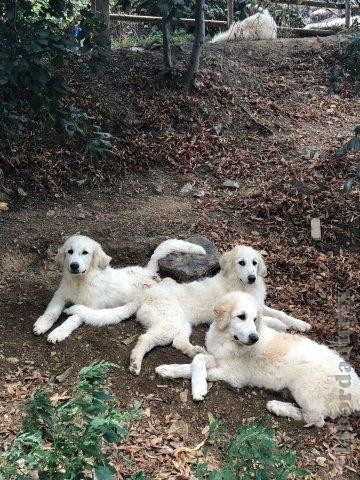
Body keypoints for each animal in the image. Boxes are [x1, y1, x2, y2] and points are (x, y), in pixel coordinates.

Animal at [33, 234, 205, 344]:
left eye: (85, 252)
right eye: (69, 251)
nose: (74, 265)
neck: (80, 281)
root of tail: (146, 271)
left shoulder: (91, 306)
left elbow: (71, 319)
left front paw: (58, 332)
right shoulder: (61, 294)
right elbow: (52, 311)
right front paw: (42, 325)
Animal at [64, 248, 310, 376]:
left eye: (254, 263)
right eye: (241, 263)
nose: (251, 277)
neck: (241, 284)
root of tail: (143, 296)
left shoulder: (259, 304)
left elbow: (279, 313)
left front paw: (301, 323)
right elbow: (269, 318)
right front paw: (282, 326)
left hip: (182, 323)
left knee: (178, 342)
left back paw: (194, 350)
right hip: (168, 323)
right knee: (144, 340)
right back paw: (135, 362)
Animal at [158, 292, 360, 428]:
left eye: (255, 319)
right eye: (241, 317)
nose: (254, 338)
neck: (227, 340)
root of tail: (356, 390)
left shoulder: (234, 375)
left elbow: (201, 365)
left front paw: (199, 388)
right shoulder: (218, 357)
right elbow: (196, 359)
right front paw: (167, 370)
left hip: (305, 385)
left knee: (316, 420)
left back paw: (277, 406)